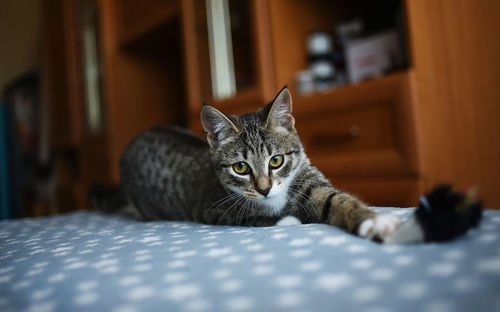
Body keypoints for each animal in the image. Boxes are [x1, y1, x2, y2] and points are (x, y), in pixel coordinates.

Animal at [92, 87, 400, 239]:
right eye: (241, 167)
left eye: (276, 160)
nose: (264, 189)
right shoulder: (214, 210)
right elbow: (251, 218)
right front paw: (286, 219)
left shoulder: (310, 183)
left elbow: (336, 199)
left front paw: (373, 221)